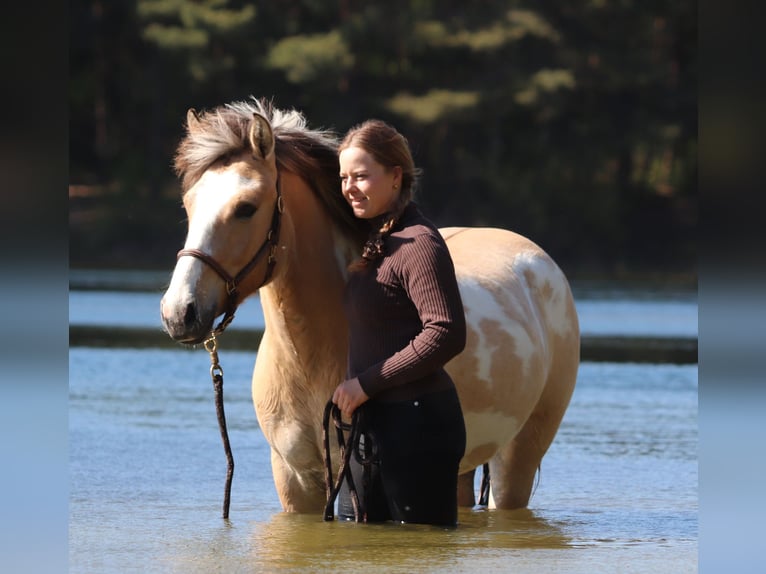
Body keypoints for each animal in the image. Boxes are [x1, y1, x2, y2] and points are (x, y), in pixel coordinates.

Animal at [160, 98, 580, 513]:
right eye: (188, 204)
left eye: (246, 207)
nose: (179, 313)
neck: (308, 359)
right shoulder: (294, 479)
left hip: (517, 459)